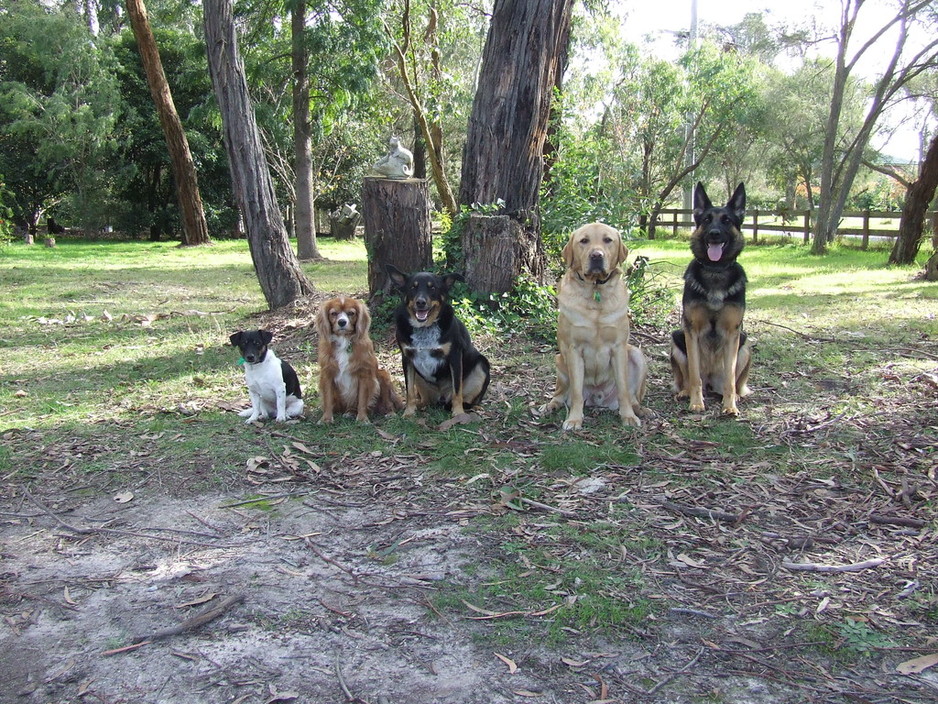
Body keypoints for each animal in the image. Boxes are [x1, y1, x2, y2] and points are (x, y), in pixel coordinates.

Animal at [386, 266, 490, 418]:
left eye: (433, 288)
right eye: (413, 287)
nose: (420, 302)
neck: (424, 328)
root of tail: (441, 397)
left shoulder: (455, 356)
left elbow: (457, 390)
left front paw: (458, 413)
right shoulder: (407, 358)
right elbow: (409, 391)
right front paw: (408, 412)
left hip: (481, 366)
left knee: (469, 399)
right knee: (424, 399)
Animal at [668, 182, 748, 416]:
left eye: (727, 220)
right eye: (706, 220)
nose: (714, 234)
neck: (715, 270)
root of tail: (712, 380)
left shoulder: (733, 332)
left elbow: (730, 378)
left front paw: (729, 406)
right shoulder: (691, 330)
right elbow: (694, 375)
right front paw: (696, 402)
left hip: (744, 343)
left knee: (733, 382)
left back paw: (734, 396)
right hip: (677, 339)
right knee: (689, 378)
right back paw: (685, 392)